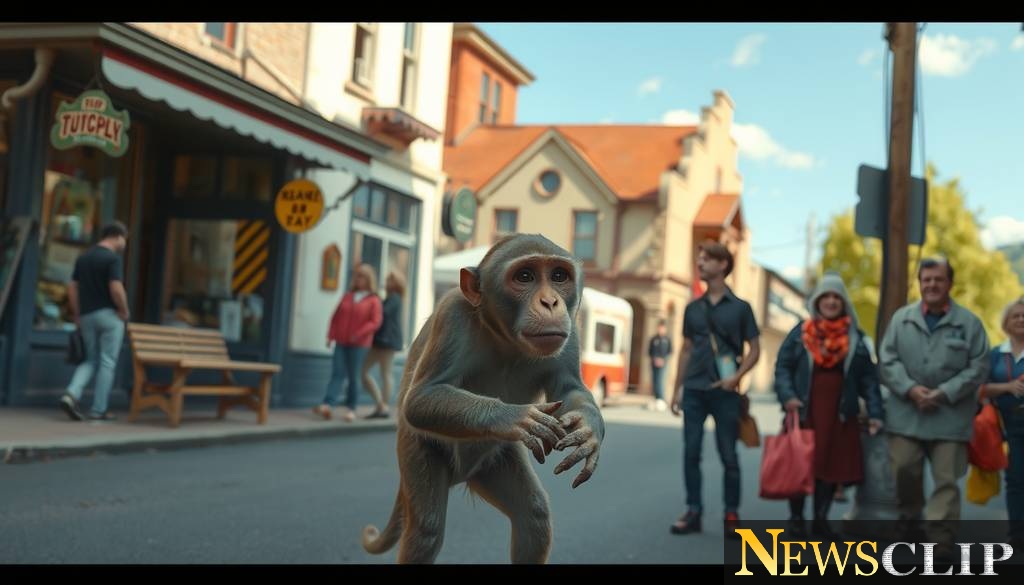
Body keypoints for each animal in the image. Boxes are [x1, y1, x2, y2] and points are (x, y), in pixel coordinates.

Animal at [361, 233, 605, 564]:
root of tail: (461, 476)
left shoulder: (570, 328)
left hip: (492, 460)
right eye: (525, 276)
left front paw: (588, 429)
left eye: (558, 276)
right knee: (426, 529)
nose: (550, 302)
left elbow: (570, 389)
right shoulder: (452, 314)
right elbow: (420, 399)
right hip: (415, 447)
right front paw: (512, 417)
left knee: (533, 515)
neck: (504, 338)